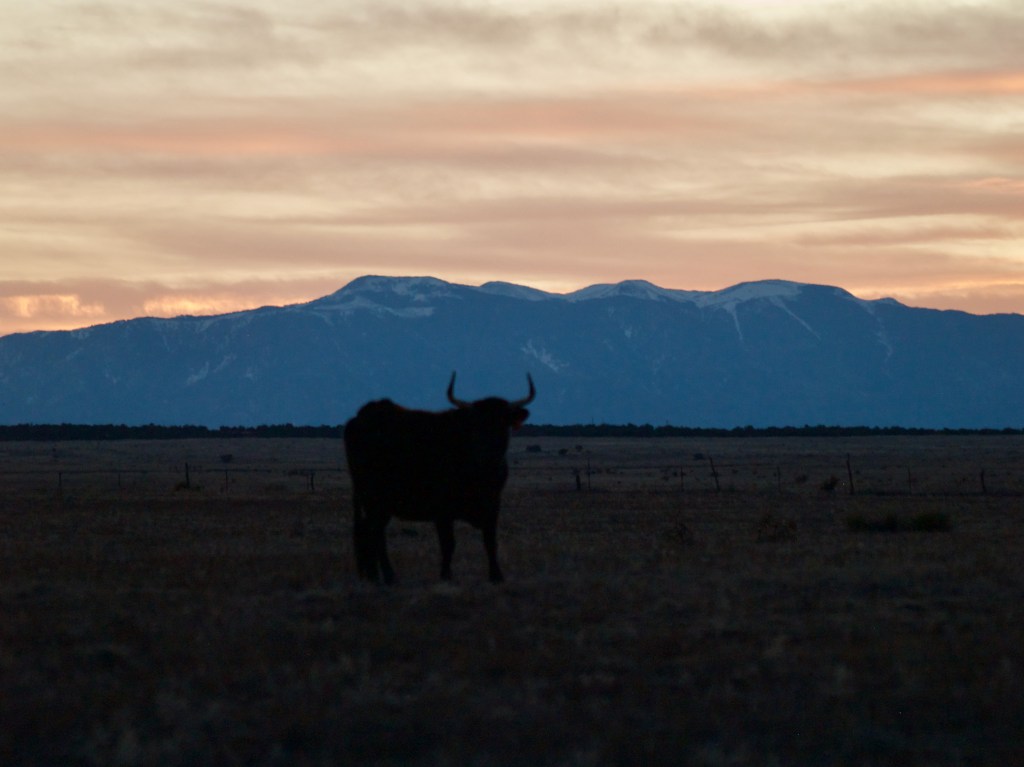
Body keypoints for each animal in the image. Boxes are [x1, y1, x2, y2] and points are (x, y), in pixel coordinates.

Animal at [344, 373, 535, 584]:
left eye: (503, 424)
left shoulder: (493, 505)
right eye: (476, 426)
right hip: (373, 499)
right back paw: (387, 575)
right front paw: (446, 575)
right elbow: (448, 543)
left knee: (369, 531)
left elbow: (490, 541)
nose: (488, 454)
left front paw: (496, 576)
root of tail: (361, 417)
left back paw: (373, 575)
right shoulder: (443, 510)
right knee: (374, 532)